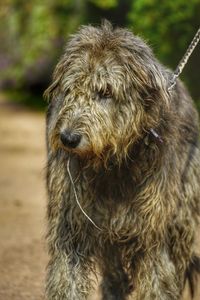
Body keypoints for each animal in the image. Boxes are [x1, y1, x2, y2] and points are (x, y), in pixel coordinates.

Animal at [44, 21, 199, 300]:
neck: (113, 166)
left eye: (105, 92)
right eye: (70, 89)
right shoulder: (71, 222)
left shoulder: (153, 233)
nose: (68, 138)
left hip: (183, 213)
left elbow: (157, 279)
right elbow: (67, 276)